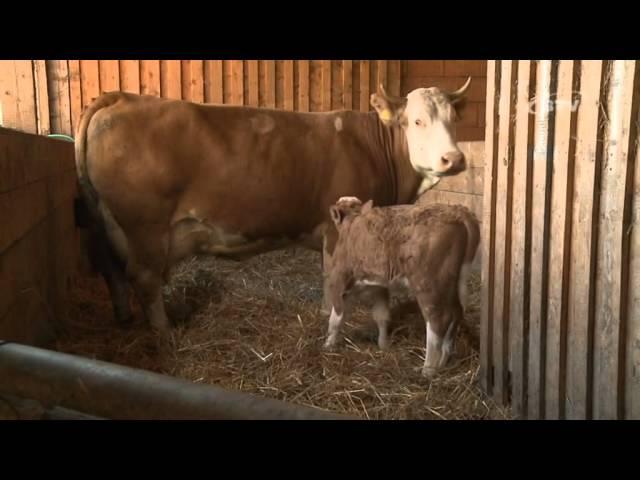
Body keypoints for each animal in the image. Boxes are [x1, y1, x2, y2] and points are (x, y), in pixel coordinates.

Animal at [75, 79, 472, 334]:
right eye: (417, 121)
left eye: (454, 120)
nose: (453, 159)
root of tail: (124, 97)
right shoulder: (336, 228)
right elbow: (333, 278)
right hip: (145, 226)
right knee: (144, 277)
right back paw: (165, 335)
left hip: (107, 224)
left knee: (114, 271)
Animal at [322, 197, 478, 376]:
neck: (351, 222)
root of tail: (460, 212)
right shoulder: (380, 287)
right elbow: (381, 315)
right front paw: (384, 345)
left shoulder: (338, 280)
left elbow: (335, 319)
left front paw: (328, 345)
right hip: (456, 281)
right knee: (457, 312)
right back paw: (444, 360)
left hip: (428, 284)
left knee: (438, 319)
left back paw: (428, 369)